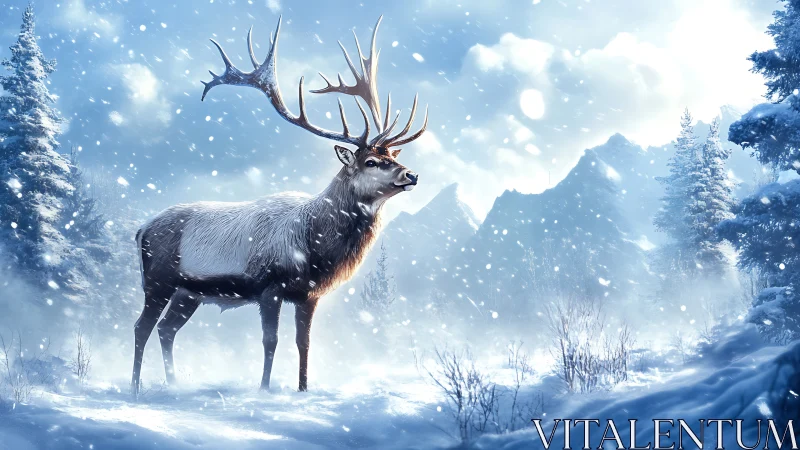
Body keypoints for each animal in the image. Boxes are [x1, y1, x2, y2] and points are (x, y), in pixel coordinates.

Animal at [130, 16, 426, 397]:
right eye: (371, 162)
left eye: (392, 156)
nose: (411, 174)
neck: (315, 247)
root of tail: (141, 229)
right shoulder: (269, 285)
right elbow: (269, 341)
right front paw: (264, 389)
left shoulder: (308, 295)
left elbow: (305, 343)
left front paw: (302, 390)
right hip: (158, 280)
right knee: (142, 326)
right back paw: (135, 387)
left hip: (189, 292)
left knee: (167, 329)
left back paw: (173, 383)